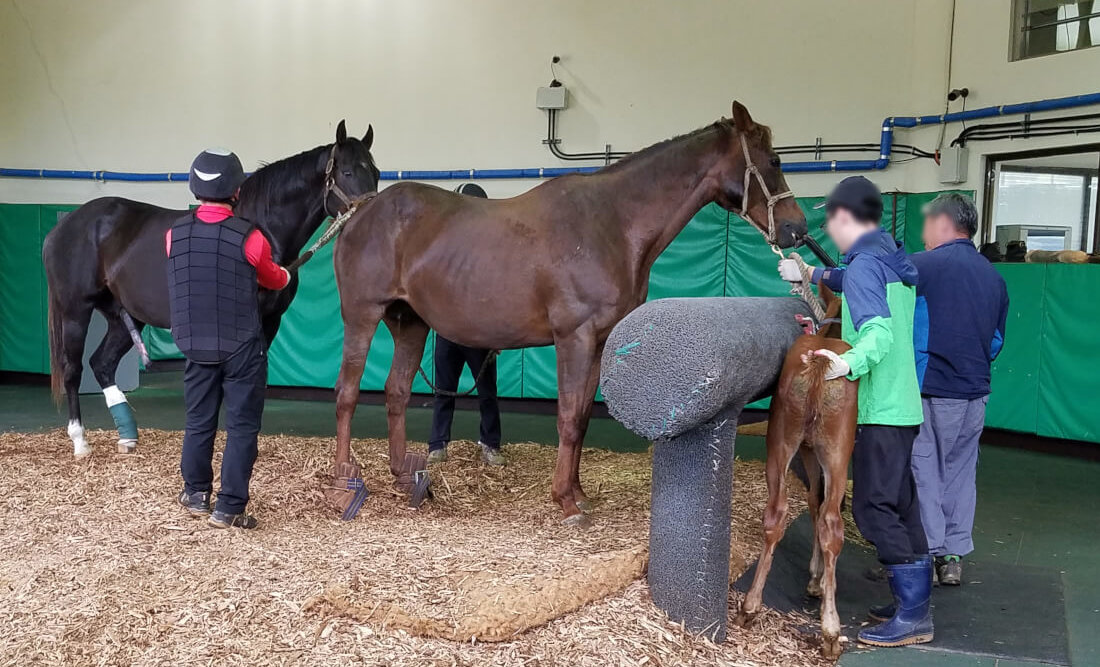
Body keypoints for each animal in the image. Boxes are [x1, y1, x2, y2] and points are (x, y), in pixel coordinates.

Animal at [44, 119, 378, 457]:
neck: (261, 227)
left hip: (125, 316)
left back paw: (127, 436)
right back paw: (80, 441)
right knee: (73, 369)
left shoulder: (271, 320)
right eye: (347, 172)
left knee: (102, 363)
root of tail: (64, 225)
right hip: (75, 311)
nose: (370, 215)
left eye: (375, 172)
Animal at [330, 101, 805, 526]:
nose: (796, 228)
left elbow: (582, 417)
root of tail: (358, 213)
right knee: (347, 394)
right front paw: (566, 502)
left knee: (395, 392)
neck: (613, 223)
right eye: (773, 160)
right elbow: (568, 417)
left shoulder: (598, 341)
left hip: (409, 323)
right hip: (362, 317)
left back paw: (402, 476)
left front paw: (576, 492)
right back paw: (343, 483)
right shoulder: (573, 337)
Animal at [739, 283, 858, 660]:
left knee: (776, 512)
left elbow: (812, 498)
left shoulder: (805, 449)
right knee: (832, 521)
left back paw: (750, 607)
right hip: (837, 451)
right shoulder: (816, 452)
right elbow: (817, 503)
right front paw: (816, 579)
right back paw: (831, 630)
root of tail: (820, 363)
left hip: (781, 440)